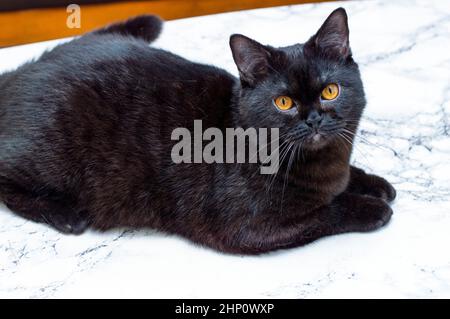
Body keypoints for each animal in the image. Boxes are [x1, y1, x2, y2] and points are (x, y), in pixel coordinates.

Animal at [0, 9, 394, 255]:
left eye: (330, 91)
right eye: (284, 102)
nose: (313, 120)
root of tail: (17, 73)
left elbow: (344, 181)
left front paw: (374, 184)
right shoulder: (244, 229)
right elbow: (323, 213)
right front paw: (371, 207)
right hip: (54, 157)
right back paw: (65, 215)